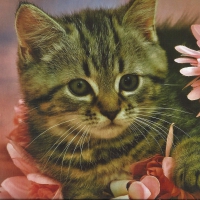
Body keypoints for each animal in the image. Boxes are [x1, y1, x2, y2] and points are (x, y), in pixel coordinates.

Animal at [15, 0, 200, 198]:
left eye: (128, 81)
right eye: (79, 86)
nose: (111, 111)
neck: (108, 151)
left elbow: (194, 137)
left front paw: (192, 167)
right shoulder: (74, 185)